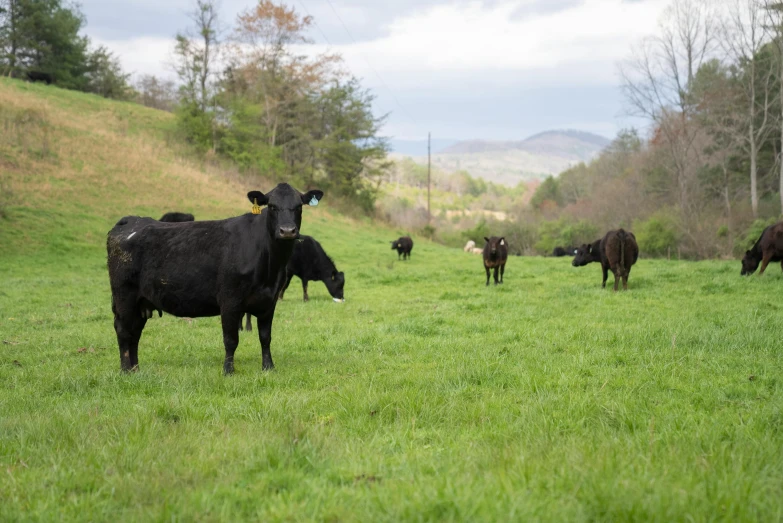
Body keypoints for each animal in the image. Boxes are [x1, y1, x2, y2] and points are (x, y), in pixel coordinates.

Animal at [106, 182, 322, 374]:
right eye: (271, 206)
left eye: (299, 206)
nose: (287, 231)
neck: (270, 266)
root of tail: (131, 220)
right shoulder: (229, 300)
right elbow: (231, 339)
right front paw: (228, 371)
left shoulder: (269, 301)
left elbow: (265, 337)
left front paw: (268, 368)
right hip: (124, 296)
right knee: (123, 330)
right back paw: (125, 371)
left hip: (141, 302)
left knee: (135, 332)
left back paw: (136, 369)